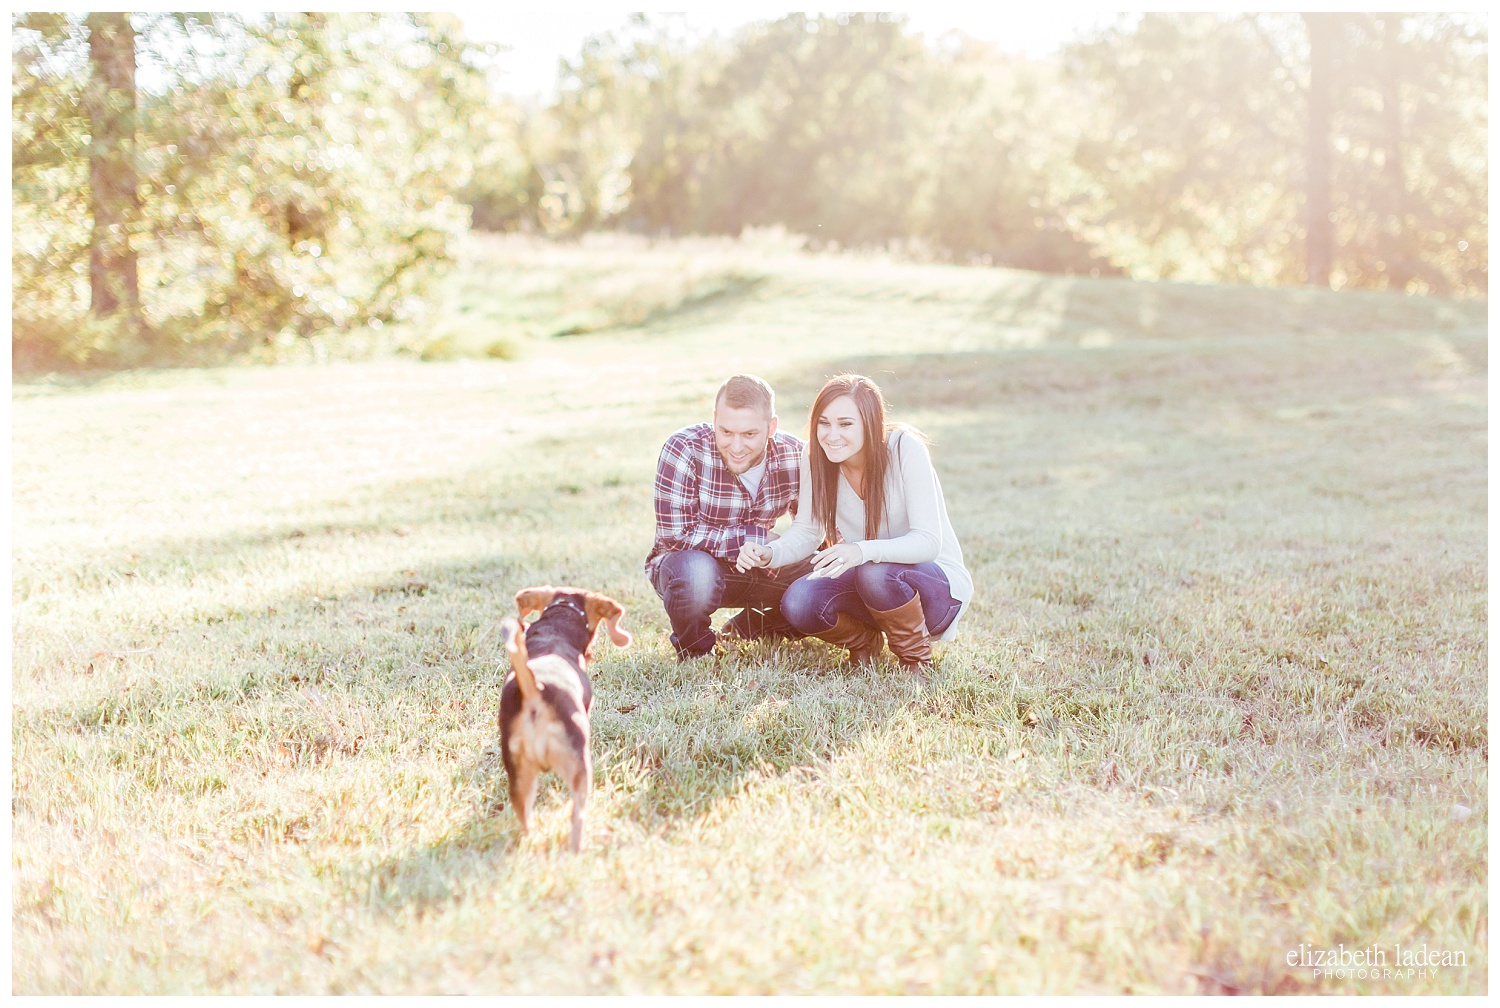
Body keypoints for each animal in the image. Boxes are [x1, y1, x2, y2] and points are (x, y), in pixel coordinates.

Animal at [495, 582, 630, 852]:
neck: (556, 627)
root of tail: (534, 690)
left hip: (519, 778)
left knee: (524, 816)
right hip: (580, 770)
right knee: (577, 816)